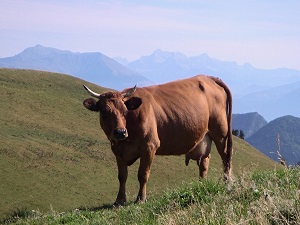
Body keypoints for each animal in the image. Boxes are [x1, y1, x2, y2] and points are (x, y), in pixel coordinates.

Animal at [83, 75, 233, 206]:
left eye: (125, 111)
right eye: (104, 112)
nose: (120, 132)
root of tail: (208, 77)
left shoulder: (150, 146)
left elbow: (143, 174)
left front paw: (141, 199)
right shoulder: (117, 150)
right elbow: (122, 176)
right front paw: (119, 200)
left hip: (221, 132)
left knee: (226, 157)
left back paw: (227, 184)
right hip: (205, 138)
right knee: (204, 162)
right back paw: (201, 185)